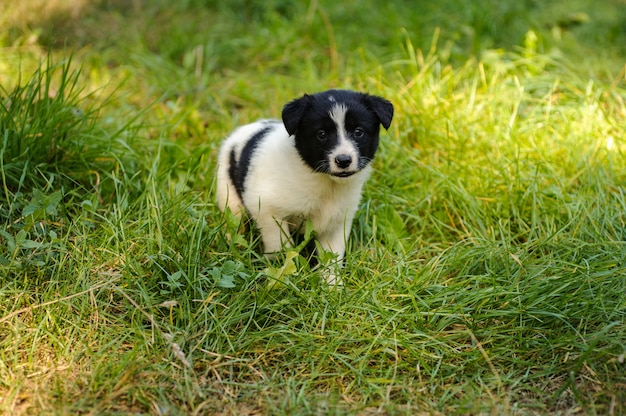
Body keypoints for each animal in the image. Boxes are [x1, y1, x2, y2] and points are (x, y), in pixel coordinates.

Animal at [214, 88, 390, 282]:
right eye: (321, 134)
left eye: (358, 132)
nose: (343, 160)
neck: (324, 181)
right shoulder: (265, 207)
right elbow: (279, 243)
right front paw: (281, 271)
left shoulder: (337, 221)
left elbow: (332, 256)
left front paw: (332, 283)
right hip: (227, 192)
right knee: (233, 219)